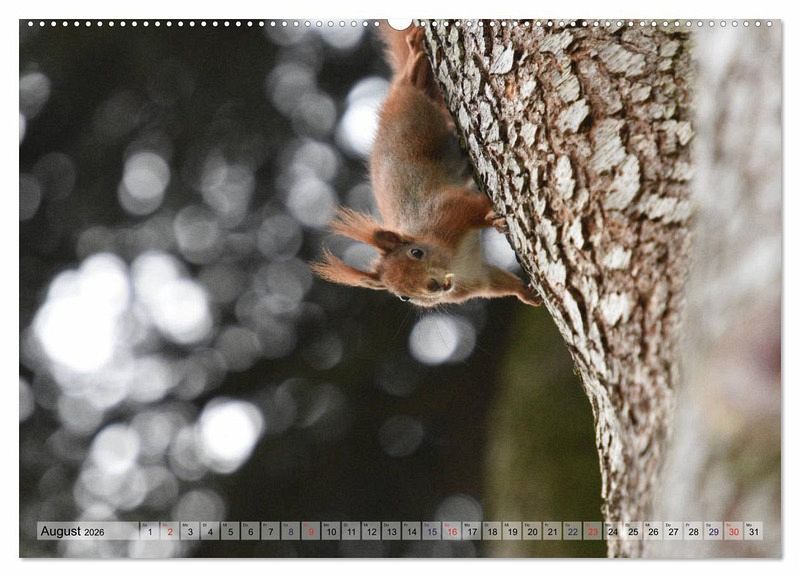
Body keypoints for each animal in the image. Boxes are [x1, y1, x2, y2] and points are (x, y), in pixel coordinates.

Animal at [311, 25, 541, 308]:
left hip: (412, 105)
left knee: (412, 79)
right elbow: (496, 282)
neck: (452, 260)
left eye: (416, 252)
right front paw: (526, 293)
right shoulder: (474, 278)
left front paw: (491, 217)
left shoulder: (448, 210)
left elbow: (474, 206)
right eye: (403, 297)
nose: (433, 286)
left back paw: (415, 51)